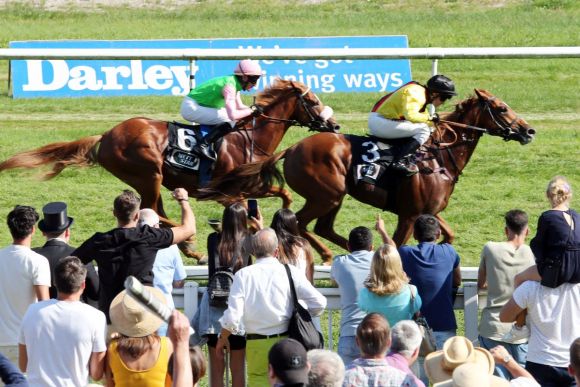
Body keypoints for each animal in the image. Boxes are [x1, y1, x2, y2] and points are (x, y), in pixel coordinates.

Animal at [0, 79, 340, 258]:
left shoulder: (248, 185)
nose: (334, 125)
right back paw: (188, 241)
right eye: (312, 100)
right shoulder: (228, 192)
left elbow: (285, 196)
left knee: (155, 210)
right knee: (151, 210)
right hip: (148, 173)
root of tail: (106, 135)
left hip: (149, 178)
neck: (250, 137)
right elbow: (251, 217)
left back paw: (187, 244)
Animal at [198, 89, 536, 262]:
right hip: (327, 194)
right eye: (502, 108)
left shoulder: (429, 210)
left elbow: (448, 235)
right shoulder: (409, 214)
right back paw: (329, 254)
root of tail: (292, 147)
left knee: (320, 227)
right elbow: (399, 245)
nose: (528, 130)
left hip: (333, 197)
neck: (438, 155)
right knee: (301, 223)